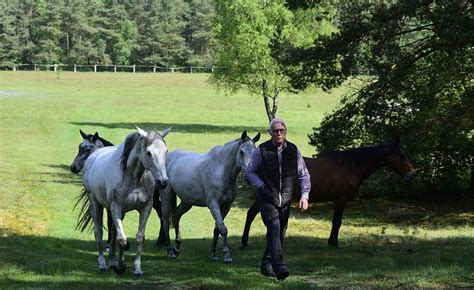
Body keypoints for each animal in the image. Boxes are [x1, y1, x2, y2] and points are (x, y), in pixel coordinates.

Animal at [78, 126, 172, 276]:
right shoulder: (117, 208)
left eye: (166, 151)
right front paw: (121, 266)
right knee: (99, 232)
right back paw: (103, 264)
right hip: (96, 204)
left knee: (112, 232)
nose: (163, 182)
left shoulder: (145, 208)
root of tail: (92, 157)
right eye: (148, 152)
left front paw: (137, 269)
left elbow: (139, 237)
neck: (133, 177)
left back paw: (112, 261)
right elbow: (122, 239)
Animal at [161, 131, 262, 262]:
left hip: (187, 202)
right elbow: (223, 229)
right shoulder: (213, 205)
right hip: (166, 196)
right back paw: (170, 251)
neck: (220, 171)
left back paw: (177, 248)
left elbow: (217, 229)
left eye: (255, 151)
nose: (249, 177)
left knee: (176, 216)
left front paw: (213, 254)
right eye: (241, 152)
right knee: (165, 221)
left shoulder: (226, 207)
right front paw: (227, 256)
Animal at [241, 142, 414, 248]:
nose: (412, 174)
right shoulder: (340, 200)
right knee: (250, 215)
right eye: (402, 155)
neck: (350, 165)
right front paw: (333, 242)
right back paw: (244, 242)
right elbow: (337, 222)